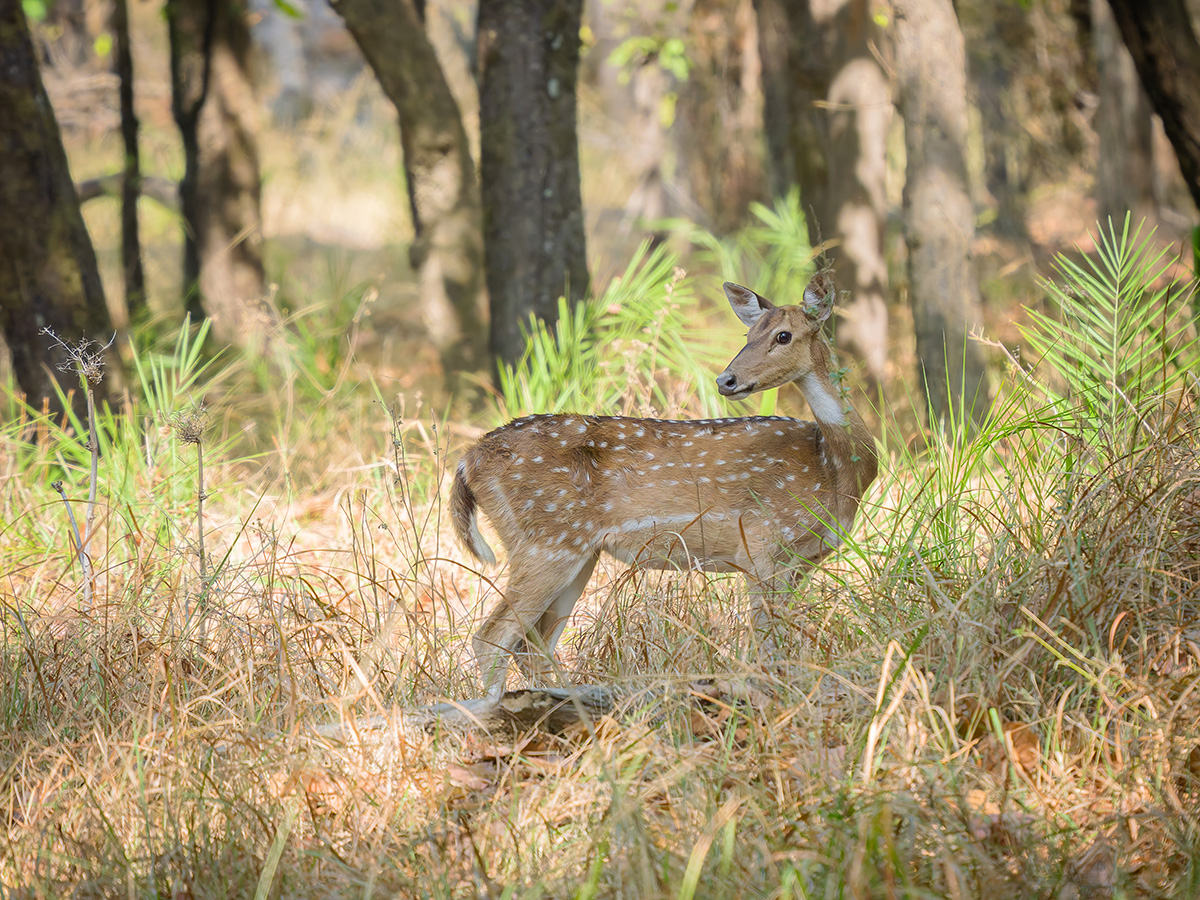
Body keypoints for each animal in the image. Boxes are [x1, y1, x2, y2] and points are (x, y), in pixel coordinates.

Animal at [451, 271, 878, 696]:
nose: (726, 380)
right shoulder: (762, 546)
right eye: (749, 334)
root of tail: (468, 459)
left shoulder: (803, 560)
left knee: (533, 646)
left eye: (783, 335)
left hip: (577, 553)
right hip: (545, 541)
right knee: (492, 638)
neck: (834, 468)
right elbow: (766, 647)